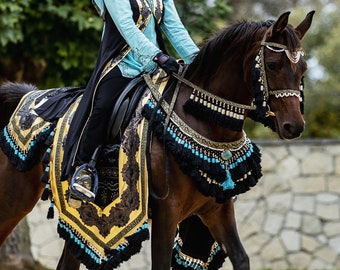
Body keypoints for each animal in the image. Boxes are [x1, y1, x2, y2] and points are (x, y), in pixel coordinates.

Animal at [0, 11, 314, 270]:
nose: (294, 126)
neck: (199, 119)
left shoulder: (216, 209)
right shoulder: (167, 211)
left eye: (304, 69)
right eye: (272, 64)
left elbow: (241, 258)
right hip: (13, 201)